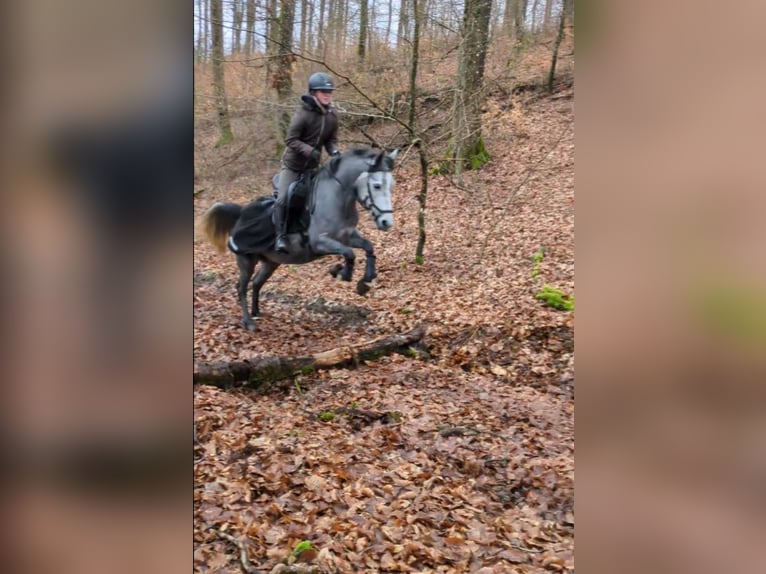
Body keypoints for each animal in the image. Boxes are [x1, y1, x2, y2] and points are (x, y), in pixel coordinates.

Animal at [201, 147, 398, 330]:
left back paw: (257, 312)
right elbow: (349, 253)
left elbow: (368, 247)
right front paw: (341, 272)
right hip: (246, 261)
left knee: (256, 283)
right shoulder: (320, 243)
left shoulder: (348, 236)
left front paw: (366, 280)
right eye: (377, 185)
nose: (386, 222)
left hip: (271, 262)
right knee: (241, 288)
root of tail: (240, 213)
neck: (336, 199)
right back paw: (249, 322)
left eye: (391, 185)